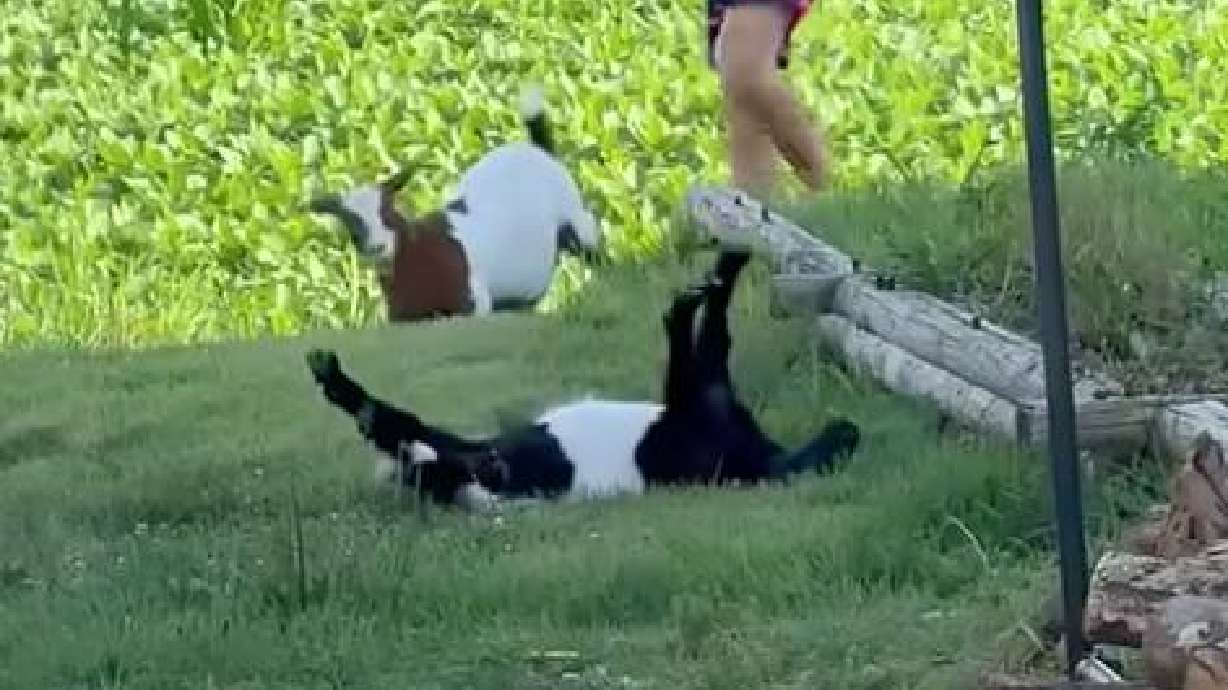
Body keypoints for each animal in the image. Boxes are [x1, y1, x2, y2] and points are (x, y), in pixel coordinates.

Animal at [304, 249, 862, 512]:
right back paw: (712, 279)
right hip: (695, 408)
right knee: (705, 338)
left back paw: (721, 267)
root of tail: (763, 454)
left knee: (705, 333)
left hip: (695, 404)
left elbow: (396, 421)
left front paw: (339, 384)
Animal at [307, 84, 603, 322]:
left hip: (577, 222)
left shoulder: (473, 304)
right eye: (351, 222)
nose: (378, 246)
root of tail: (537, 149)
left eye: (389, 211)